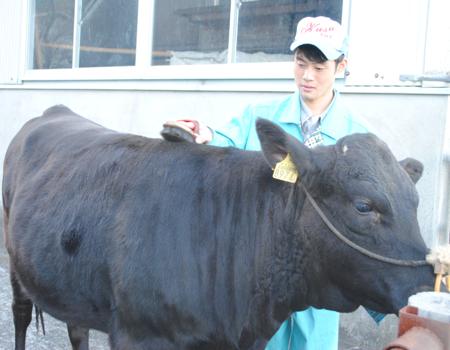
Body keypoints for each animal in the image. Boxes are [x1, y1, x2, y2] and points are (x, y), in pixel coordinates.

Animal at [1, 105, 434, 348]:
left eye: (414, 202)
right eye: (364, 206)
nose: (427, 284)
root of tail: (56, 111)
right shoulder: (137, 334)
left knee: (76, 329)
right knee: (20, 314)